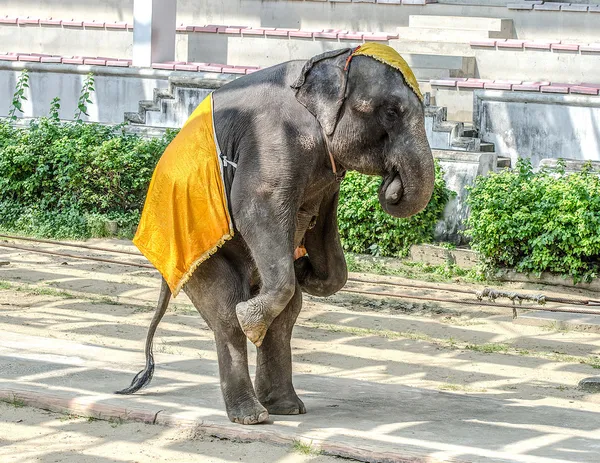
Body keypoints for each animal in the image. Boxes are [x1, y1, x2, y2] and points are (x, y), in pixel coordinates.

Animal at [118, 45, 436, 426]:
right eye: (391, 112)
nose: (392, 183)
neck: (328, 65)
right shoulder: (273, 140)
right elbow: (253, 207)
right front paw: (252, 318)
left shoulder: (325, 180)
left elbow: (323, 231)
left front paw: (306, 271)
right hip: (194, 248)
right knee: (226, 311)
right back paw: (252, 410)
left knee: (287, 315)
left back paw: (285, 407)